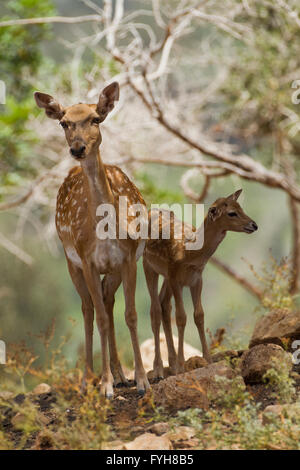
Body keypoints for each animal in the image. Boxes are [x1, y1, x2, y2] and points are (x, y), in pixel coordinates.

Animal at [34, 81, 150, 396]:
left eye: (96, 118)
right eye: (64, 123)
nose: (77, 148)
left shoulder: (128, 259)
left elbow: (130, 315)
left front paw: (142, 381)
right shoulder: (87, 260)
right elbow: (99, 319)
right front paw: (105, 385)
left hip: (111, 270)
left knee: (108, 304)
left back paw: (121, 375)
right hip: (70, 261)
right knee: (89, 309)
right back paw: (89, 379)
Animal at [144, 189, 258, 376]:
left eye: (240, 207)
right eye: (231, 213)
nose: (254, 225)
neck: (188, 254)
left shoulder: (196, 279)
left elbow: (199, 315)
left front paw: (208, 360)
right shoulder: (175, 278)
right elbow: (181, 317)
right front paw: (182, 366)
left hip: (166, 276)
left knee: (164, 305)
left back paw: (171, 365)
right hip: (148, 265)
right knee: (155, 310)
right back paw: (159, 369)